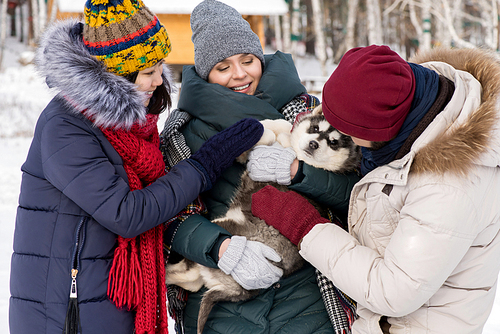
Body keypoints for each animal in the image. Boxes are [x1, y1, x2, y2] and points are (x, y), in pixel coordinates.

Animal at [166, 105, 362, 334]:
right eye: (315, 128)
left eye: (333, 142)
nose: (313, 144)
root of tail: (242, 291)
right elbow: (278, 129)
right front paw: (268, 127)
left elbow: (269, 136)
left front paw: (265, 130)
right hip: (200, 275)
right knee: (187, 278)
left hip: (225, 230)